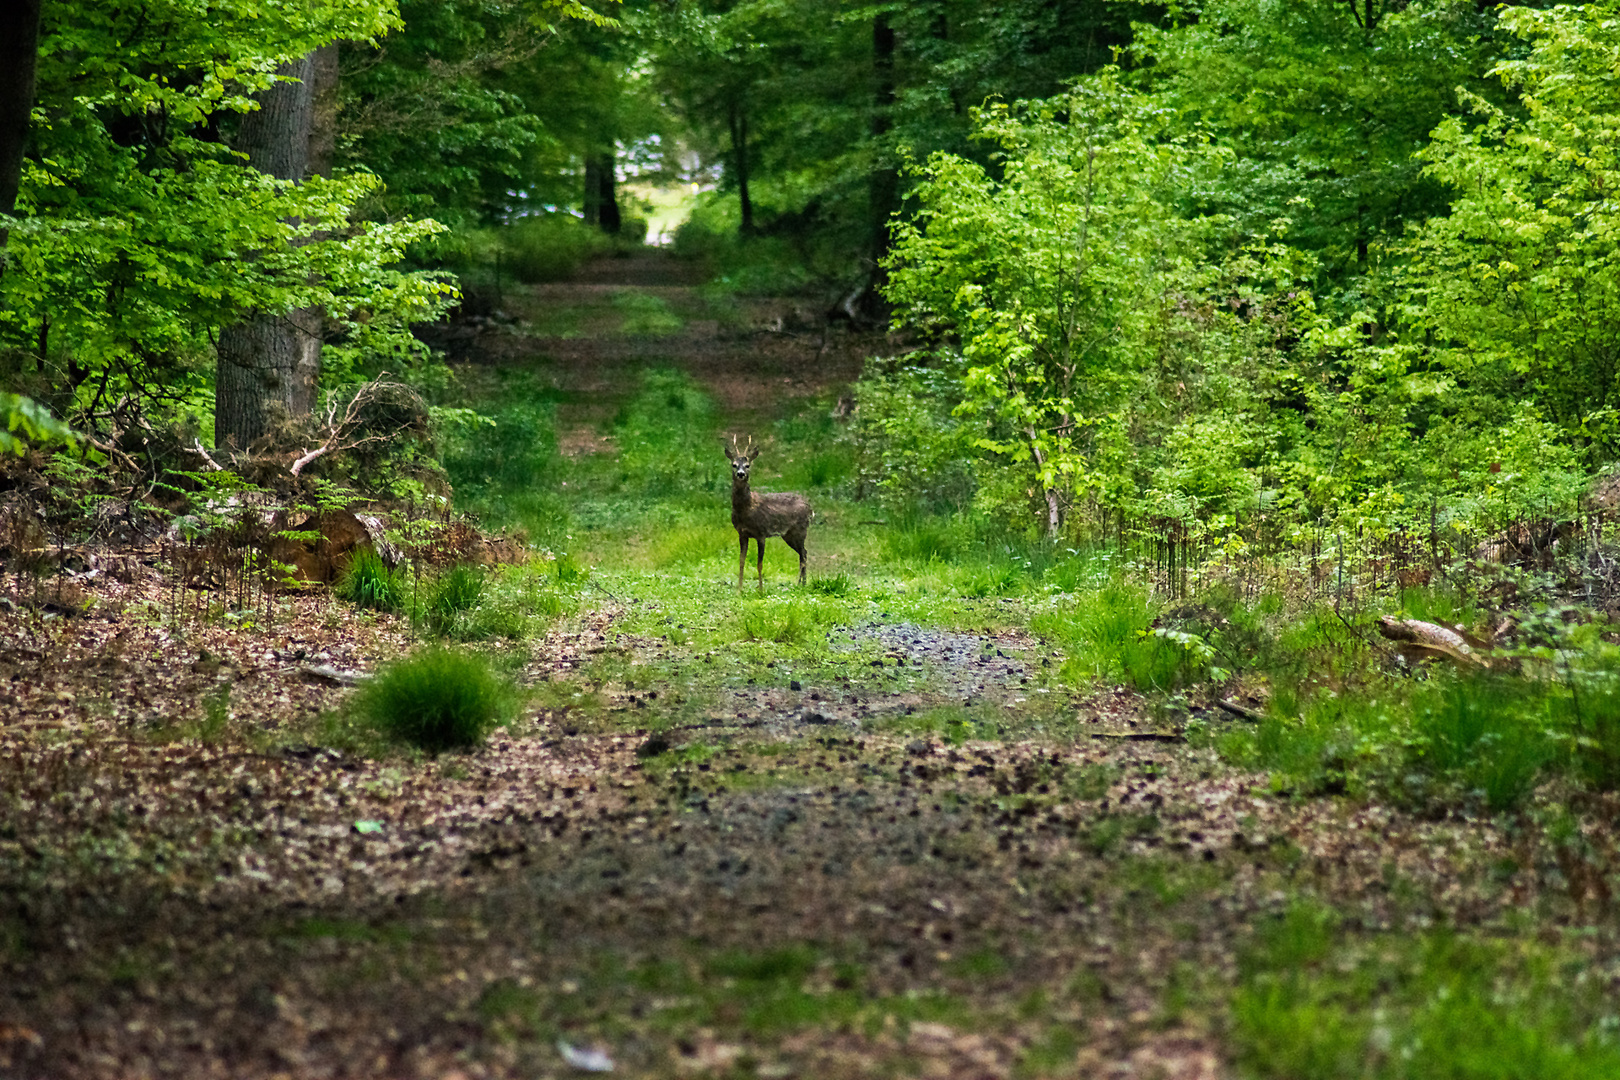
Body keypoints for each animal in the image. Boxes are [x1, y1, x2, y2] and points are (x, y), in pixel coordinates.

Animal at [722, 433, 810, 592]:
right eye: (734, 464)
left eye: (747, 465)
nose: (740, 473)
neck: (746, 509)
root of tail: (810, 507)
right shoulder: (742, 533)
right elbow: (741, 561)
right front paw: (739, 589)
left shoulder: (761, 533)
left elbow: (759, 563)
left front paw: (761, 590)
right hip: (788, 534)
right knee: (803, 553)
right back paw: (801, 584)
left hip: (800, 530)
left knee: (804, 554)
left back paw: (802, 584)